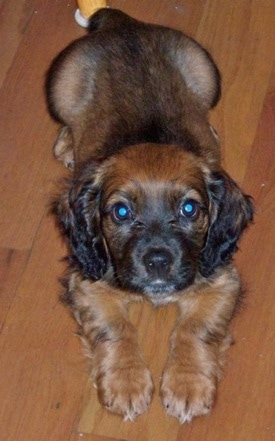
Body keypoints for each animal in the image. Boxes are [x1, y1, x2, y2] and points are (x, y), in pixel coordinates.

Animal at [45, 8, 254, 422]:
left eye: (189, 208)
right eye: (121, 212)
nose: (158, 262)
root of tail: (122, 23)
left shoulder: (222, 280)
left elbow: (196, 328)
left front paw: (188, 385)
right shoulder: (89, 283)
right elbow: (115, 328)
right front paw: (126, 384)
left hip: (210, 77)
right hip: (57, 91)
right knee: (67, 121)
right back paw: (66, 145)